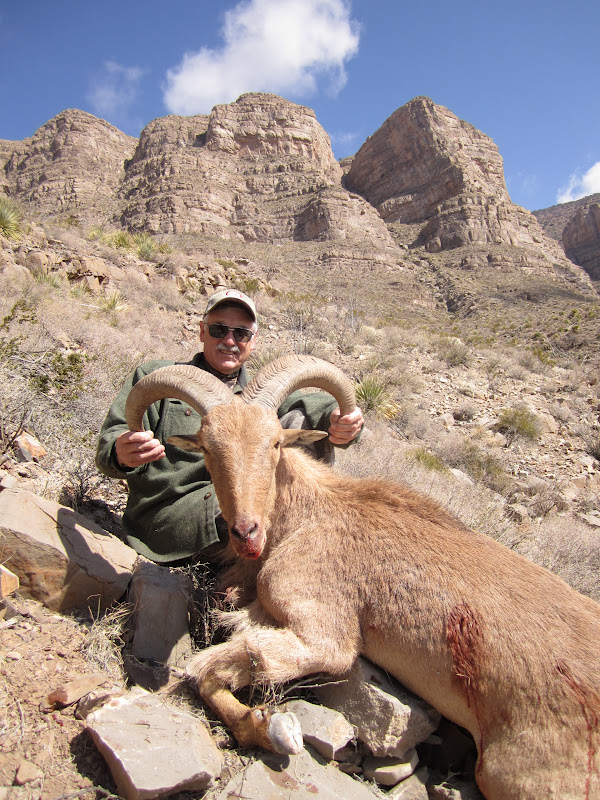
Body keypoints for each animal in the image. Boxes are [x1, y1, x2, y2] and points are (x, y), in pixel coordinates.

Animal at [125, 354, 600, 800]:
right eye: (207, 448)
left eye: (275, 443)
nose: (246, 532)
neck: (309, 515)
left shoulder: (323, 632)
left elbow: (216, 668)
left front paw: (270, 728)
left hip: (511, 775)